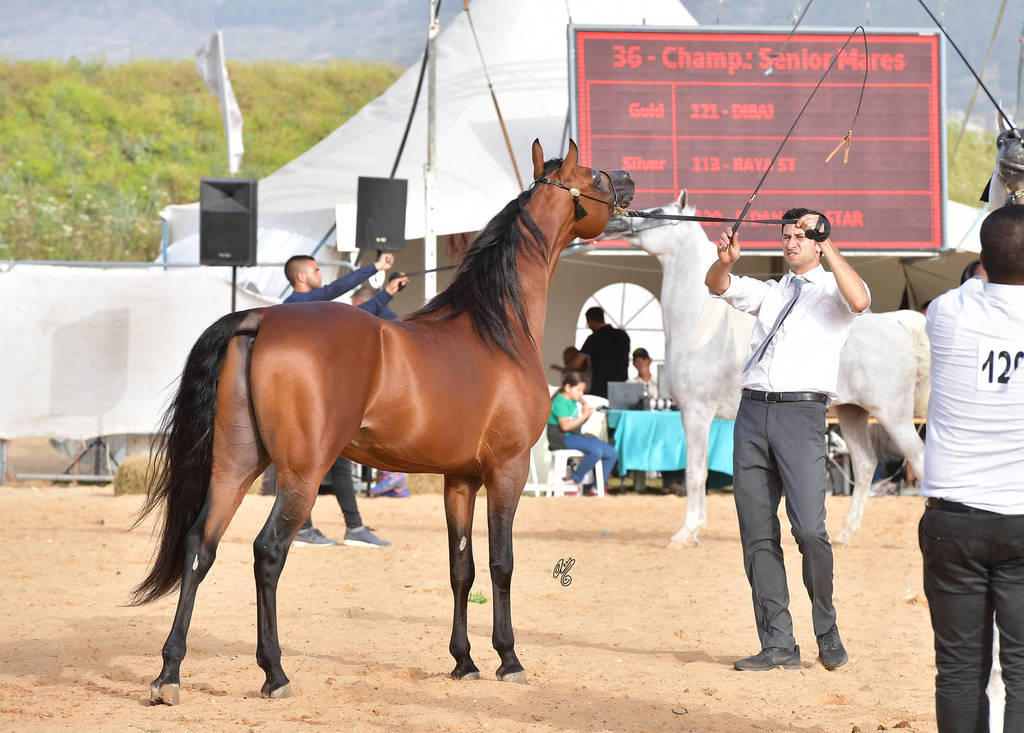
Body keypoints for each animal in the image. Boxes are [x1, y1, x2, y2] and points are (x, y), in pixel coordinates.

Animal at [130, 139, 634, 705]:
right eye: (594, 174)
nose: (629, 183)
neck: (498, 329)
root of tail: (258, 318)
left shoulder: (459, 479)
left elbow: (462, 568)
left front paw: (464, 661)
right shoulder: (508, 470)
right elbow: (501, 564)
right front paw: (508, 659)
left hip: (236, 465)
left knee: (201, 546)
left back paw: (169, 674)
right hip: (302, 474)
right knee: (267, 553)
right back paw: (274, 672)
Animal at [601, 191, 929, 547]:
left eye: (661, 212)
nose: (615, 220)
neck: (700, 327)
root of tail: (898, 324)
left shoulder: (696, 412)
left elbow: (695, 472)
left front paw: (686, 532)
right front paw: (695, 528)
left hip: (893, 416)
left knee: (920, 459)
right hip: (852, 413)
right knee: (867, 464)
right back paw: (844, 535)